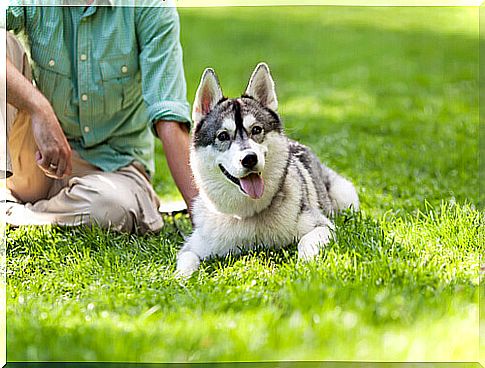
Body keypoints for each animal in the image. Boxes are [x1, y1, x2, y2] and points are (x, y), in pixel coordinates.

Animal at [176, 63, 358, 278]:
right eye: (223, 136)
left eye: (256, 130)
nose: (249, 159)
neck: (247, 214)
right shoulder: (192, 246)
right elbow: (187, 259)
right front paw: (180, 280)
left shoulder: (322, 225)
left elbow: (306, 242)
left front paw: (305, 266)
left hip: (345, 196)